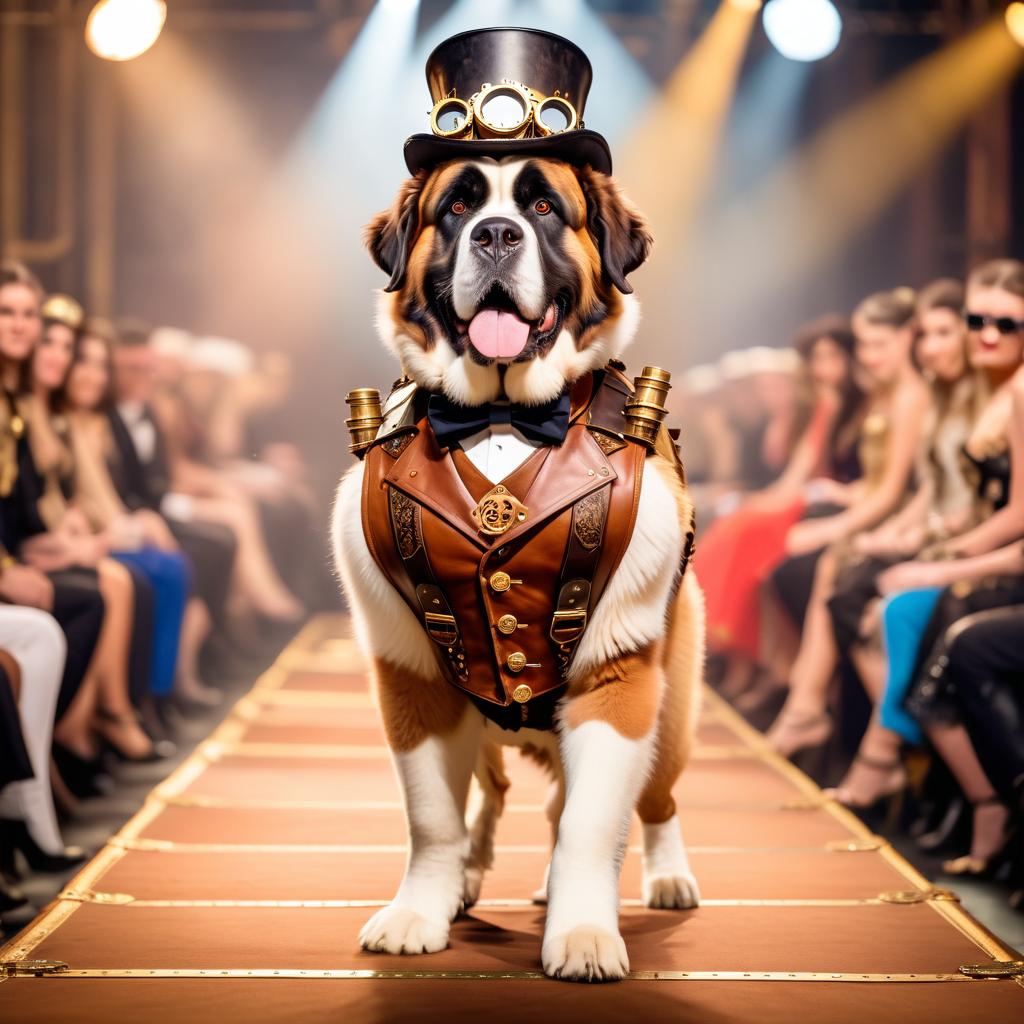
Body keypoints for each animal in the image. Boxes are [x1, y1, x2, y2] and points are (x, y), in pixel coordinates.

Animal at [333, 155, 704, 978]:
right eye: (456, 207)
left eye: (541, 207)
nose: (496, 233)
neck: (499, 415)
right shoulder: (412, 677)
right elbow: (431, 817)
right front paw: (420, 909)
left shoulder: (619, 678)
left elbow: (592, 823)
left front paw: (584, 932)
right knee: (493, 792)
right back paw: (469, 877)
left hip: (669, 717)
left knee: (652, 801)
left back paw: (666, 878)